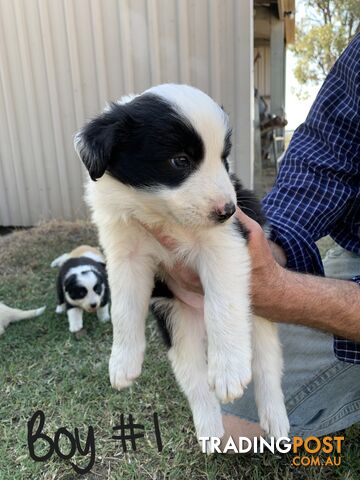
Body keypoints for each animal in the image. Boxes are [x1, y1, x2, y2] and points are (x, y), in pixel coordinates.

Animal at [75, 83, 290, 446]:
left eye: (224, 158)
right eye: (180, 160)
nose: (227, 211)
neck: (157, 213)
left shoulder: (227, 243)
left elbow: (222, 305)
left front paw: (229, 371)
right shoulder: (125, 255)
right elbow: (123, 309)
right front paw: (122, 361)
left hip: (259, 320)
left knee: (266, 367)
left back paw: (275, 420)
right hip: (178, 326)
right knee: (195, 381)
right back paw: (210, 428)